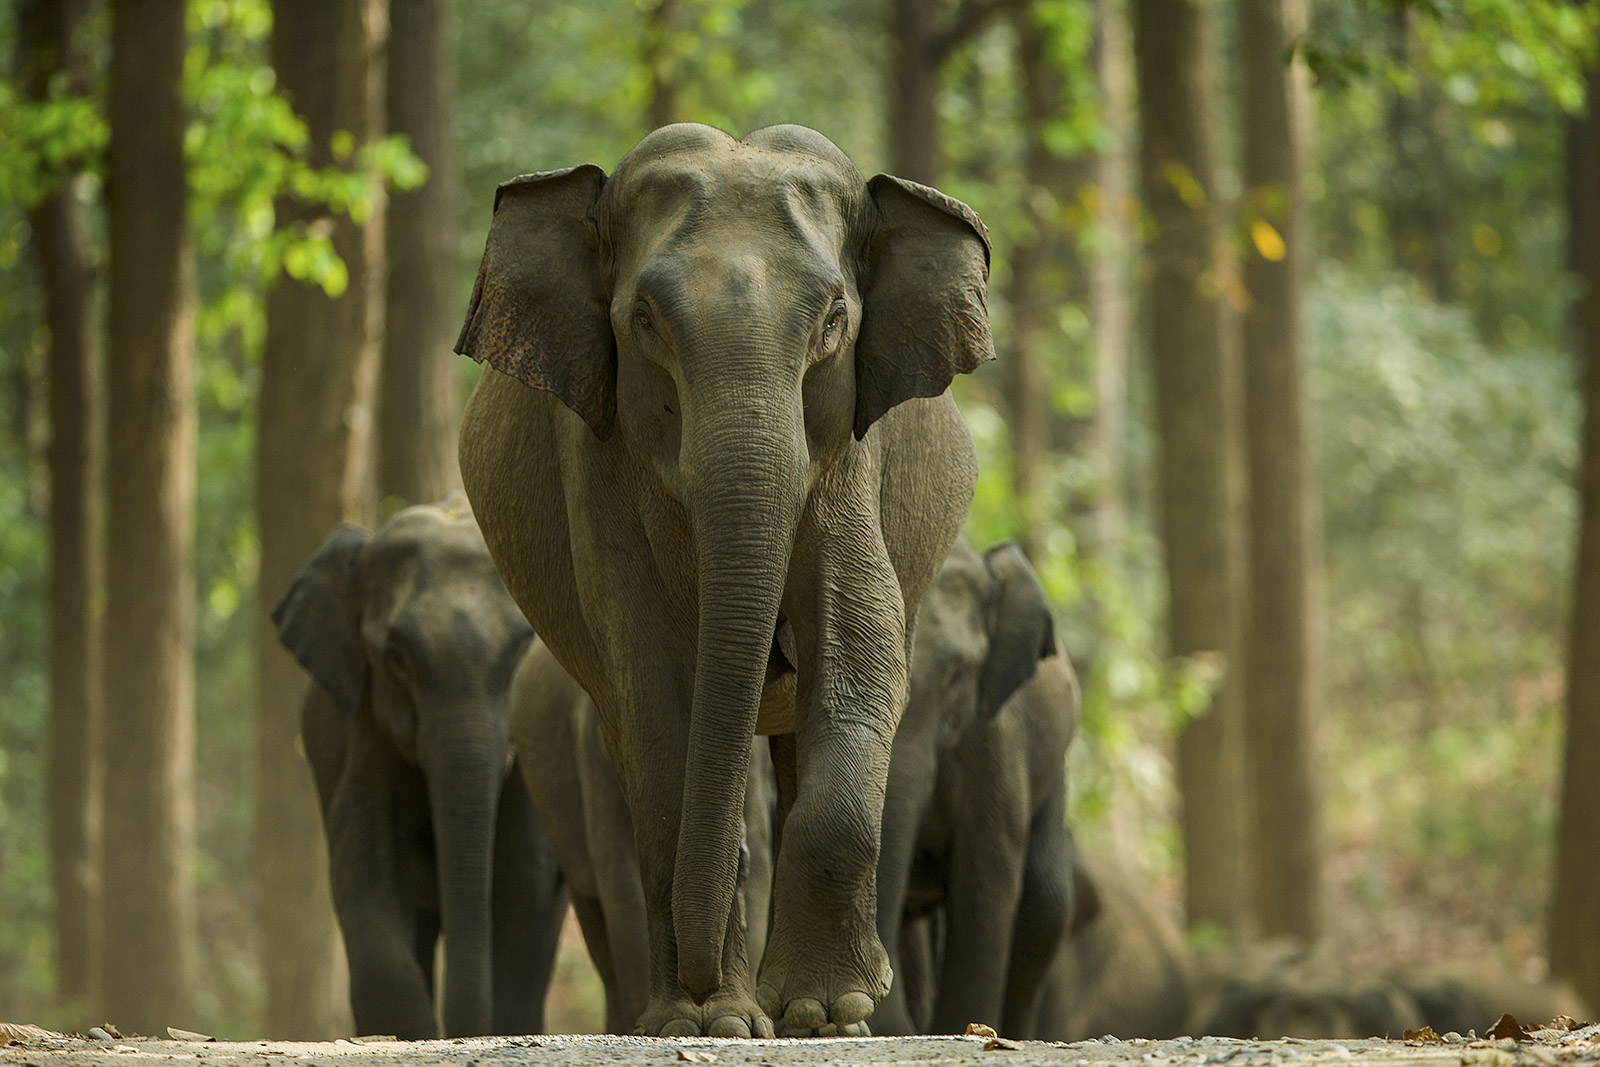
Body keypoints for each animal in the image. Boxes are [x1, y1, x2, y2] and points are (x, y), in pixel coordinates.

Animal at [275, 502, 569, 1043]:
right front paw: (405, 1034)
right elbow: (362, 867)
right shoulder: (362, 719)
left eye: (523, 649)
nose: (462, 1033)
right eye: (396, 656)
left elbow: (526, 878)